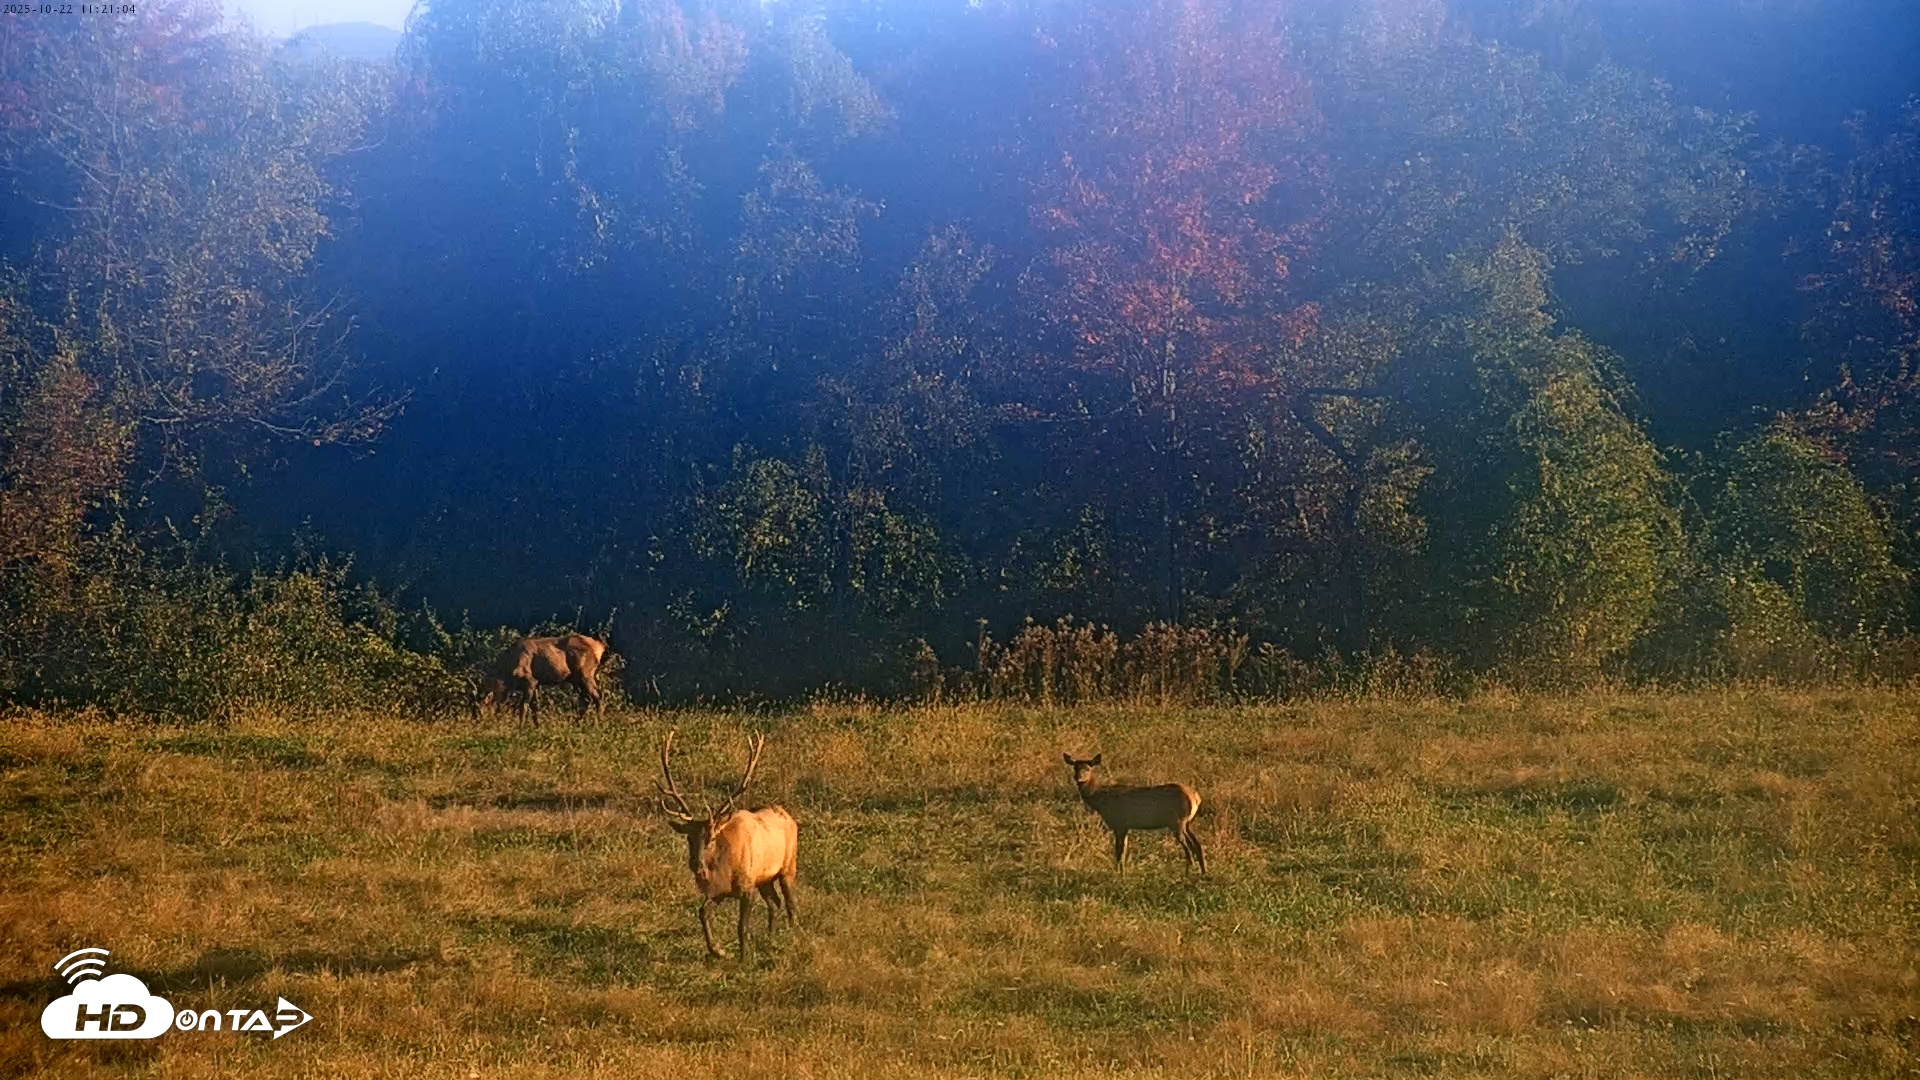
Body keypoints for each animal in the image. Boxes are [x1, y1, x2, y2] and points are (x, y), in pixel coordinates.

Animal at [475, 633, 607, 723]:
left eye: (482, 707)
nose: (477, 722)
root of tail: (600, 647)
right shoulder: (536, 683)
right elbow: (535, 707)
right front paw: (536, 727)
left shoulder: (530, 681)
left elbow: (524, 706)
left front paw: (520, 728)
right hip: (575, 680)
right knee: (585, 700)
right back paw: (577, 723)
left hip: (585, 674)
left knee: (598, 696)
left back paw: (599, 723)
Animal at [657, 728, 799, 960]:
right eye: (689, 837)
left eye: (711, 838)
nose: (696, 865)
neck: (725, 868)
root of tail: (789, 815)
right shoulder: (721, 890)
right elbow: (702, 913)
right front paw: (719, 951)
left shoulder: (747, 887)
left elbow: (742, 927)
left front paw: (744, 959)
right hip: (765, 878)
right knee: (775, 903)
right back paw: (770, 939)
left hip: (788, 868)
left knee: (790, 905)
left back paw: (792, 939)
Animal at [1062, 753, 1207, 874]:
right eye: (1074, 768)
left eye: (1088, 768)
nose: (1078, 778)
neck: (1101, 801)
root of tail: (1195, 797)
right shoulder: (1125, 827)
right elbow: (1123, 851)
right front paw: (1122, 872)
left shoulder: (1119, 823)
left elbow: (1119, 852)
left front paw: (1120, 874)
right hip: (1187, 822)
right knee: (1197, 844)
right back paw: (1203, 872)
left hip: (1177, 821)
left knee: (1188, 846)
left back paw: (1189, 872)